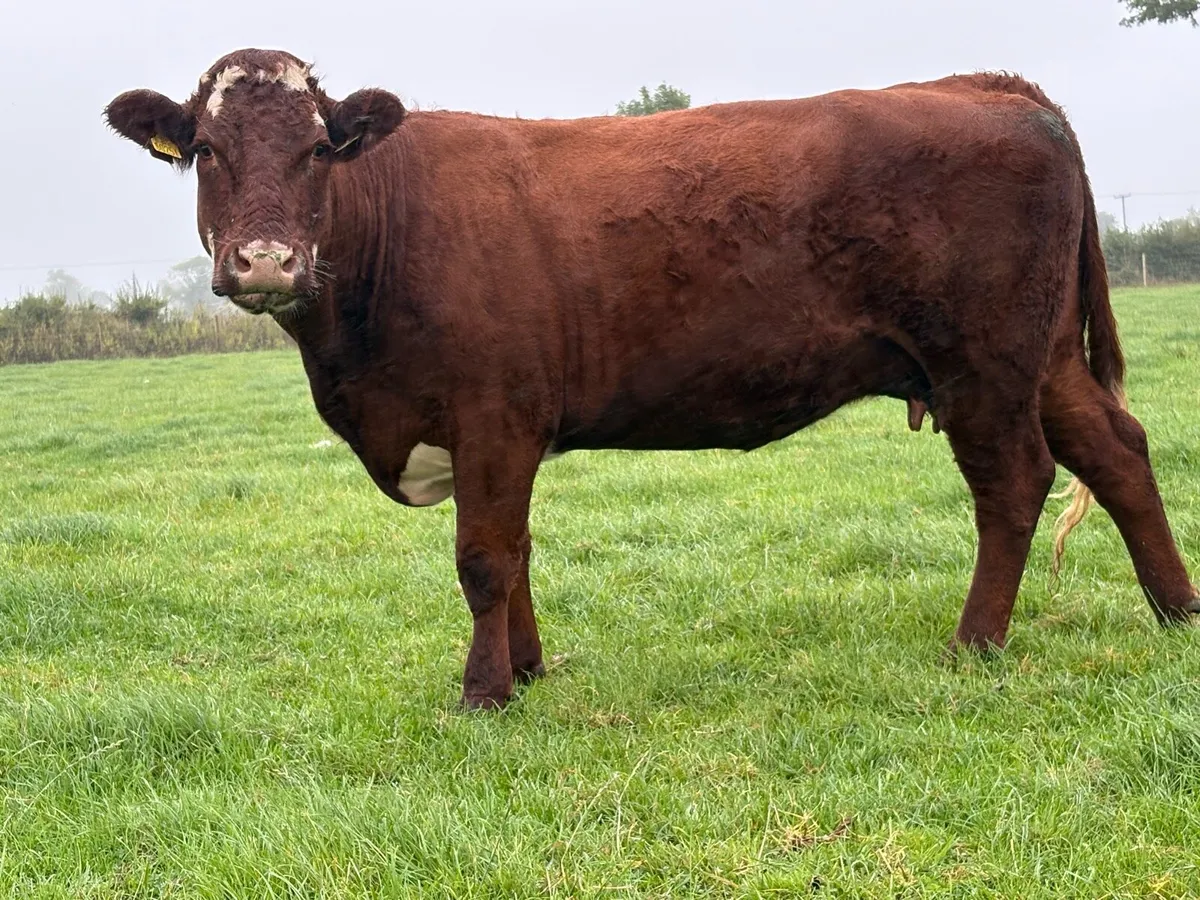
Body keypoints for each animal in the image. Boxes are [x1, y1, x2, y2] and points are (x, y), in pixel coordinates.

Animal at [105, 49, 1199, 709]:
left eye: (317, 149)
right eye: (205, 150)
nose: (267, 261)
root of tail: (987, 85)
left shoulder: (493, 413)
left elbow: (483, 559)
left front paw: (484, 693)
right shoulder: (502, 432)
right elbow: (518, 553)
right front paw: (529, 671)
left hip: (983, 363)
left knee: (1014, 484)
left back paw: (974, 645)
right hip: (1043, 357)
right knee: (1117, 450)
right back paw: (1177, 610)